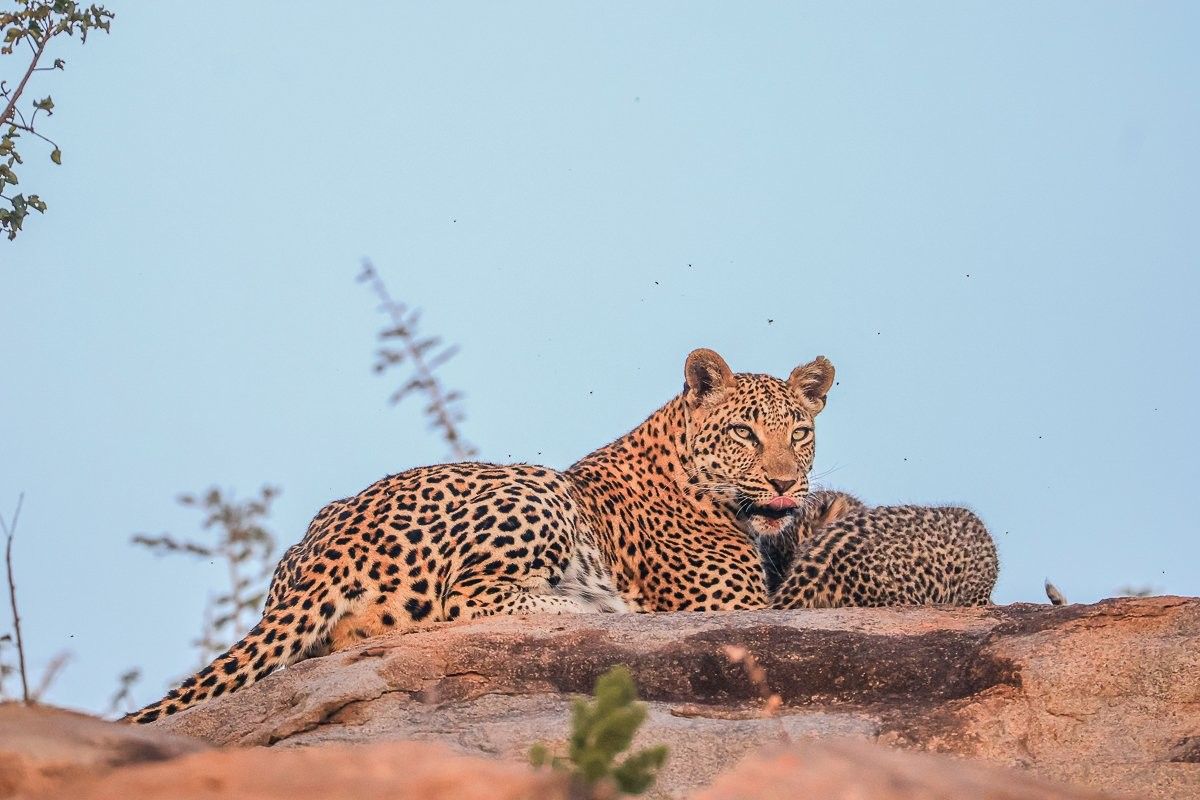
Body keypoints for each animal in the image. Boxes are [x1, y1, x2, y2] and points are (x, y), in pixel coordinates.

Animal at [126, 347, 836, 723]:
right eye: (744, 433)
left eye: (801, 432)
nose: (783, 484)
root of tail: (334, 545)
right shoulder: (733, 603)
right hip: (537, 493)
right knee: (463, 600)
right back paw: (591, 607)